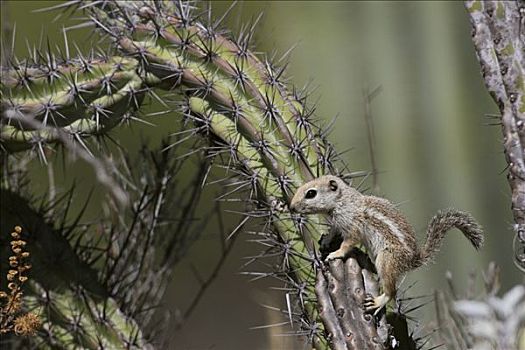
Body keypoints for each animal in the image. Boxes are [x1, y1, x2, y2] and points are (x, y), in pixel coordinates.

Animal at [286, 175, 484, 314]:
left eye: (311, 193)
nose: (292, 207)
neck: (342, 200)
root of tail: (413, 260)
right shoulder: (338, 224)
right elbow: (335, 231)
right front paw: (327, 240)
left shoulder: (353, 226)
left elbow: (348, 243)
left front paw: (335, 253)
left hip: (386, 260)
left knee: (392, 292)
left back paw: (377, 301)